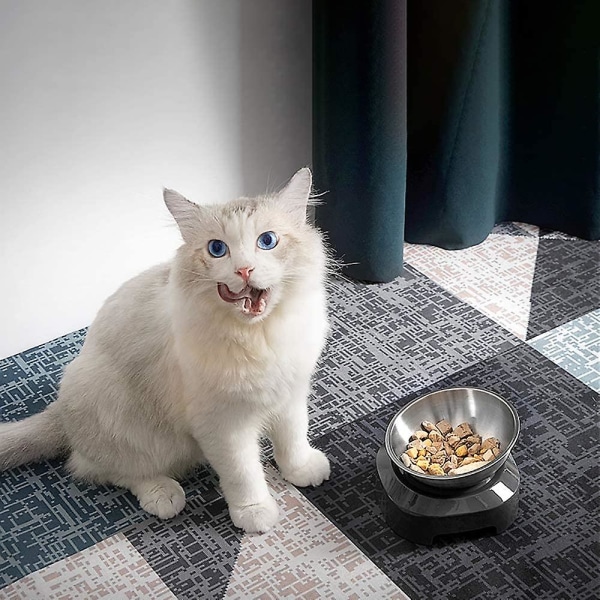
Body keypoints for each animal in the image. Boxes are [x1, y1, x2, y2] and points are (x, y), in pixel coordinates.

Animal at [0, 168, 332, 536]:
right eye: (217, 249)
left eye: (268, 241)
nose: (244, 270)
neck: (260, 334)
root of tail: (58, 410)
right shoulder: (223, 425)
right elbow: (244, 474)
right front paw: (255, 514)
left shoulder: (289, 395)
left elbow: (293, 440)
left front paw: (301, 470)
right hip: (124, 420)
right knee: (105, 469)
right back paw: (163, 495)